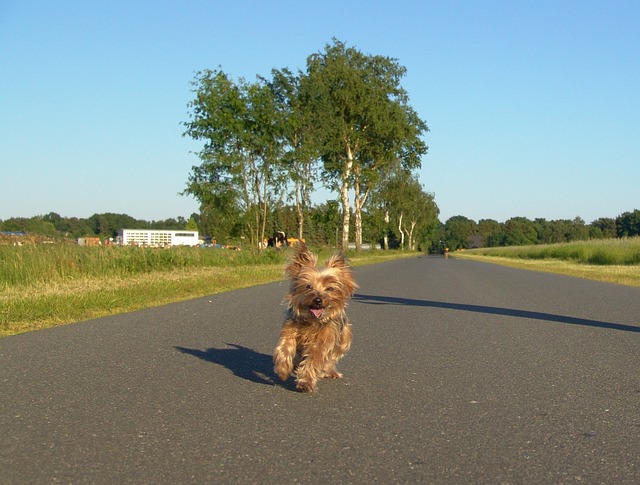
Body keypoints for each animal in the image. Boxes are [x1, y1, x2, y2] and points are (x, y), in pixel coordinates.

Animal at [272, 240, 358, 392]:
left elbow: (314, 359)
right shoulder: (290, 330)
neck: (312, 321)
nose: (318, 300)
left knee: (331, 358)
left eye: (330, 288)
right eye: (308, 286)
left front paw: (305, 381)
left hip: (344, 339)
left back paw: (330, 371)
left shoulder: (323, 341)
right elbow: (285, 347)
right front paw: (283, 369)